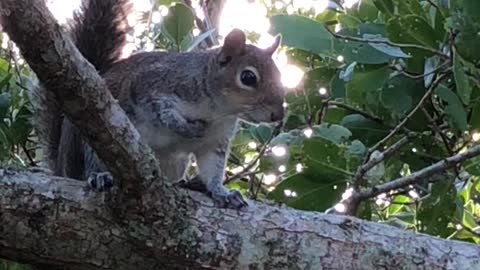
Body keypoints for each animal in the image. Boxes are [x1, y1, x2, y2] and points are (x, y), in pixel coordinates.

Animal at [31, 0, 286, 209]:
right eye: (248, 77)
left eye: (280, 74)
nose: (278, 114)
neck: (217, 110)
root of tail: (62, 167)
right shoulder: (150, 85)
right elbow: (161, 111)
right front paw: (185, 127)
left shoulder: (216, 140)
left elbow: (212, 167)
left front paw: (221, 192)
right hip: (88, 140)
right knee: (90, 164)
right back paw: (100, 176)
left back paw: (188, 184)